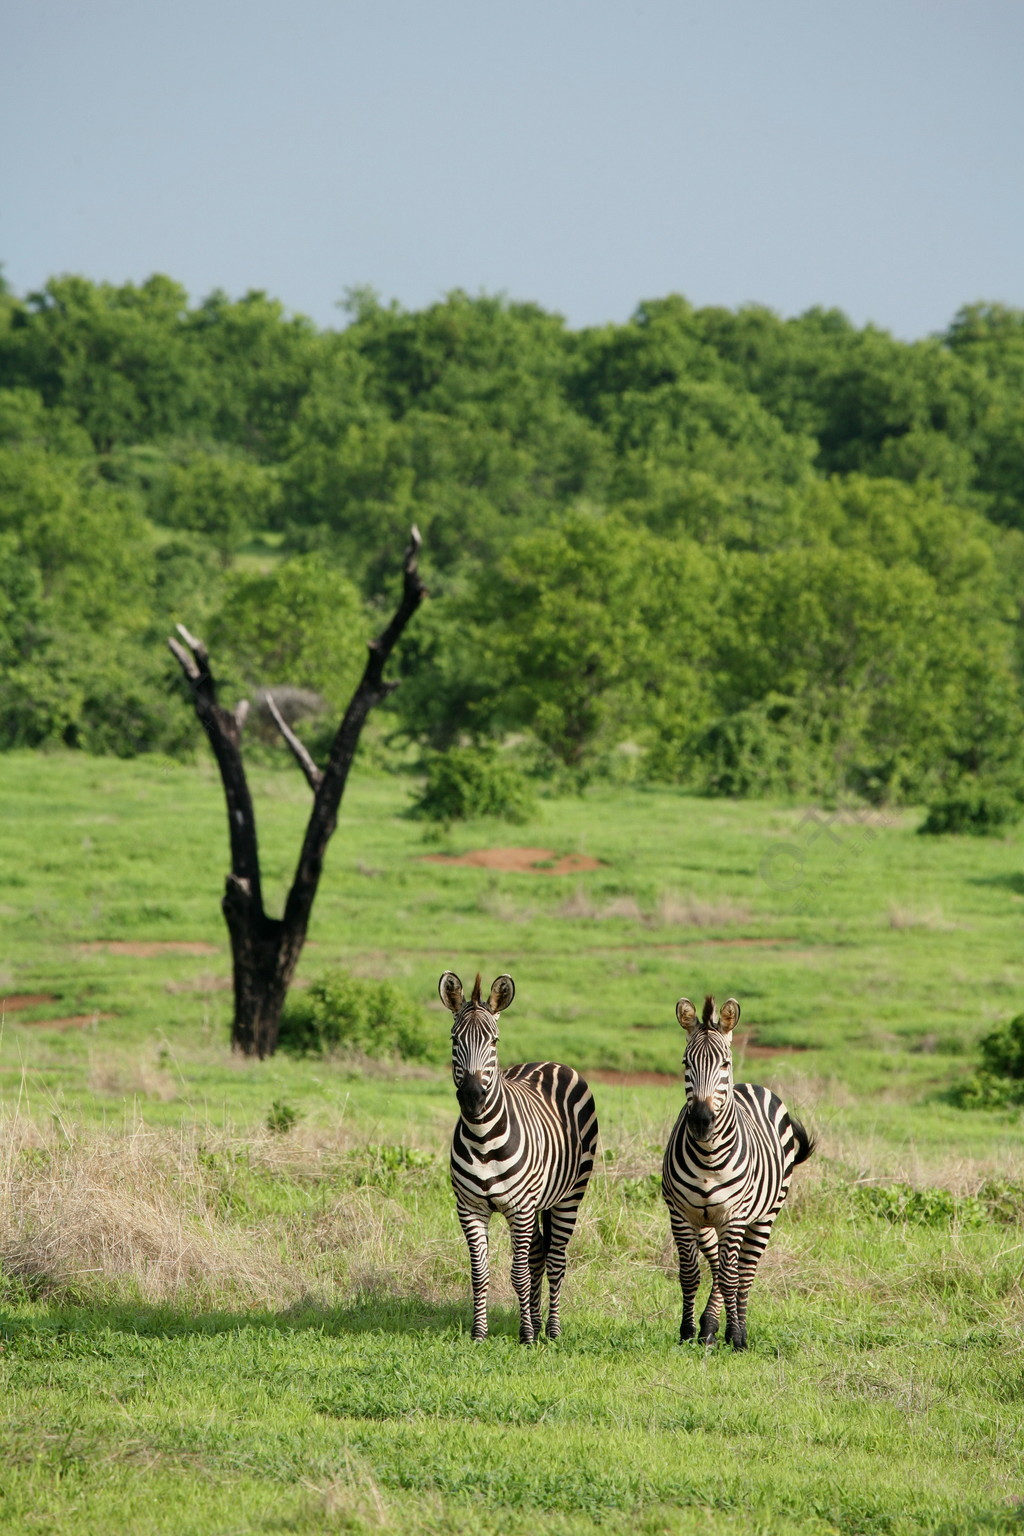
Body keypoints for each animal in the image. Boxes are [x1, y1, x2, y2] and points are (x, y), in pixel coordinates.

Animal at [436, 970, 595, 1345]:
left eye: (493, 1041)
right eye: (454, 1039)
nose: (472, 1098)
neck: (482, 1138)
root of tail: (551, 1063)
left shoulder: (519, 1208)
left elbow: (519, 1273)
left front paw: (526, 1337)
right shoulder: (469, 1208)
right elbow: (480, 1273)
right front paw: (479, 1334)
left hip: (570, 1195)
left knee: (555, 1260)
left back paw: (550, 1329)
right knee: (538, 1253)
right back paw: (536, 1321)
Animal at [666, 995, 816, 1345]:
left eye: (725, 1064)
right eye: (685, 1063)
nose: (701, 1122)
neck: (707, 1156)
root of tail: (752, 1086)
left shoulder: (734, 1215)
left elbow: (732, 1277)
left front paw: (735, 1336)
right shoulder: (680, 1213)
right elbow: (690, 1274)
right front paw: (687, 1332)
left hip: (765, 1215)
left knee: (743, 1272)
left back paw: (737, 1329)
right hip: (707, 1223)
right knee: (717, 1266)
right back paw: (708, 1327)